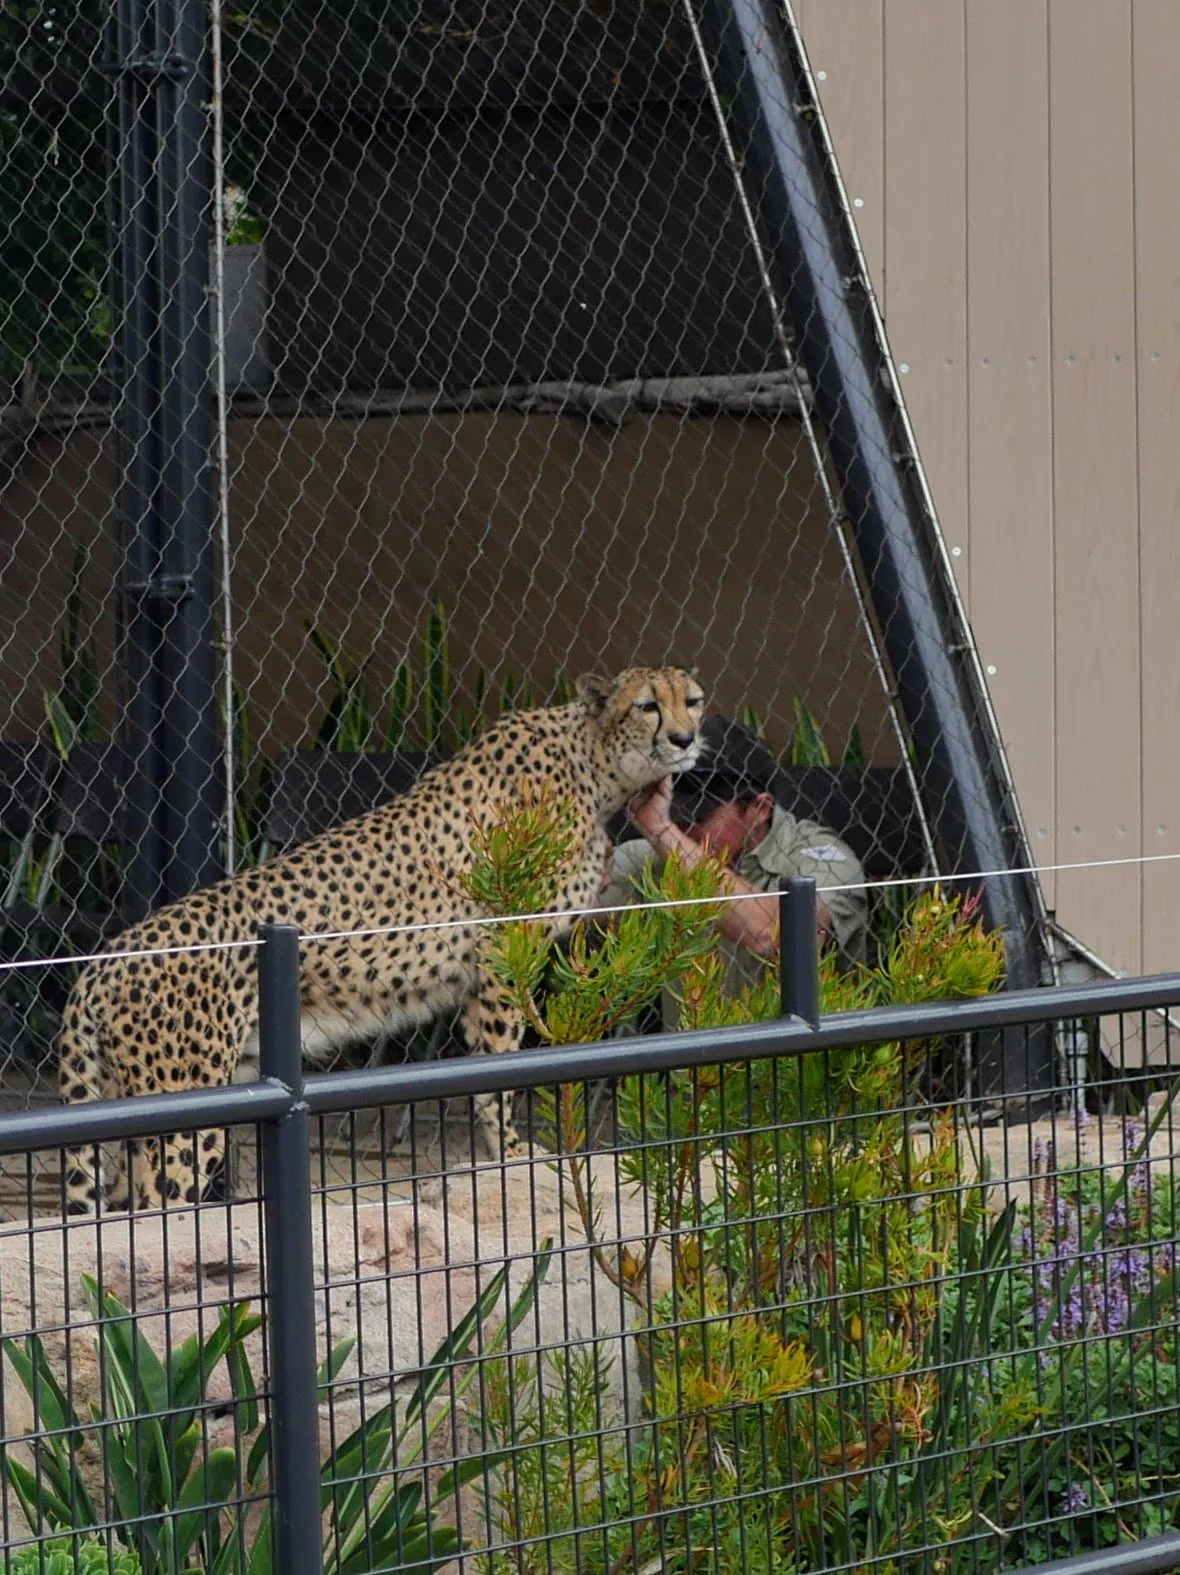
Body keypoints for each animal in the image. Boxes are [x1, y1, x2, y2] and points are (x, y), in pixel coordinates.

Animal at [57, 665, 706, 1215]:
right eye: (648, 705)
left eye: (693, 701)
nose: (684, 739)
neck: (592, 763)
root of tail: (104, 958)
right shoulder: (502, 956)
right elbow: (499, 1070)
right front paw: (513, 1156)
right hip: (185, 1107)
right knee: (155, 1214)